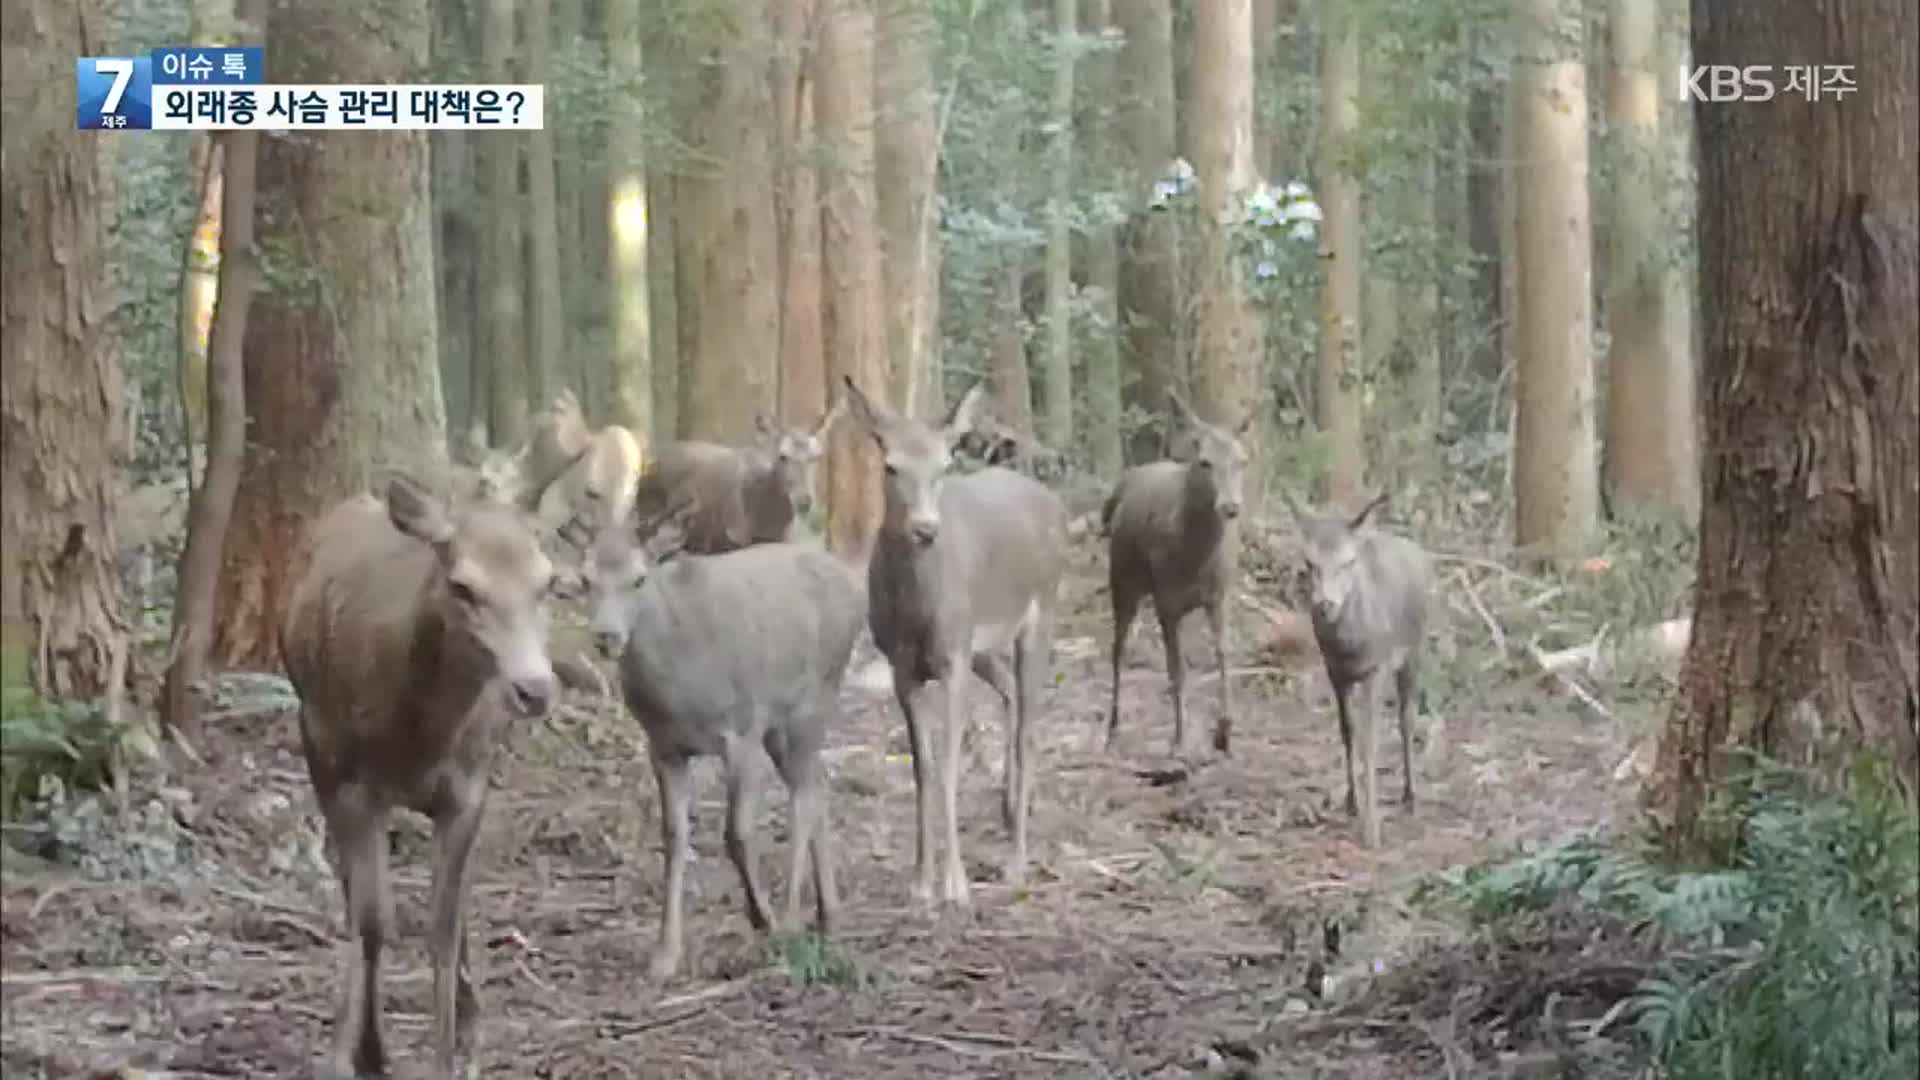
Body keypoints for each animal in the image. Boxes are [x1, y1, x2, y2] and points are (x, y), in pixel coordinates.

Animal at [278, 476, 560, 1076]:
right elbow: (372, 921)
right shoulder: (350, 781)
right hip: (317, 747)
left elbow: (443, 927)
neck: (418, 737)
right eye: (463, 587)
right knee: (354, 895)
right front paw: (362, 1053)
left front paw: (451, 1055)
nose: (534, 689)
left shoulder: (468, 790)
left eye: (548, 582)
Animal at [579, 503, 860, 976]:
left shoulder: (740, 731)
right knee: (816, 786)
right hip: (780, 727)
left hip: (815, 696)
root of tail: (855, 585)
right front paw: (665, 953)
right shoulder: (664, 746)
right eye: (585, 579)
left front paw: (762, 918)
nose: (606, 637)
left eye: (639, 578)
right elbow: (674, 837)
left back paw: (790, 920)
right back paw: (829, 916)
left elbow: (737, 833)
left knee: (804, 798)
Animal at [848, 374, 1075, 903]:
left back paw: (1016, 861)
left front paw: (955, 884)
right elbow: (923, 769)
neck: (914, 607)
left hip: (1040, 611)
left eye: (944, 465)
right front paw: (920, 880)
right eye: (890, 465)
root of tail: (1052, 502)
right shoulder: (902, 665)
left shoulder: (951, 656)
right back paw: (1011, 806)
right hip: (981, 644)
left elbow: (950, 765)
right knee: (1011, 695)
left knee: (1030, 725)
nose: (925, 528)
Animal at [1105, 388, 1251, 757]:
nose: (1231, 506)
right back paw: (1112, 730)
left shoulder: (1219, 596)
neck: (1194, 560)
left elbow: (1223, 655)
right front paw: (1180, 740)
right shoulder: (1167, 602)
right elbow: (1178, 671)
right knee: (1117, 649)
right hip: (1121, 579)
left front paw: (1225, 731)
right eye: (1205, 461)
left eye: (1243, 461)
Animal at [1282, 490, 1436, 849]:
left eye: (1348, 562)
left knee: (1407, 720)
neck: (1350, 647)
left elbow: (1371, 741)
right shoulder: (1335, 671)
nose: (1326, 605)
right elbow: (1347, 731)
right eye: (1309, 564)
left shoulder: (1376, 668)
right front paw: (1351, 803)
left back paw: (1410, 796)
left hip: (1415, 650)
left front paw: (1372, 829)